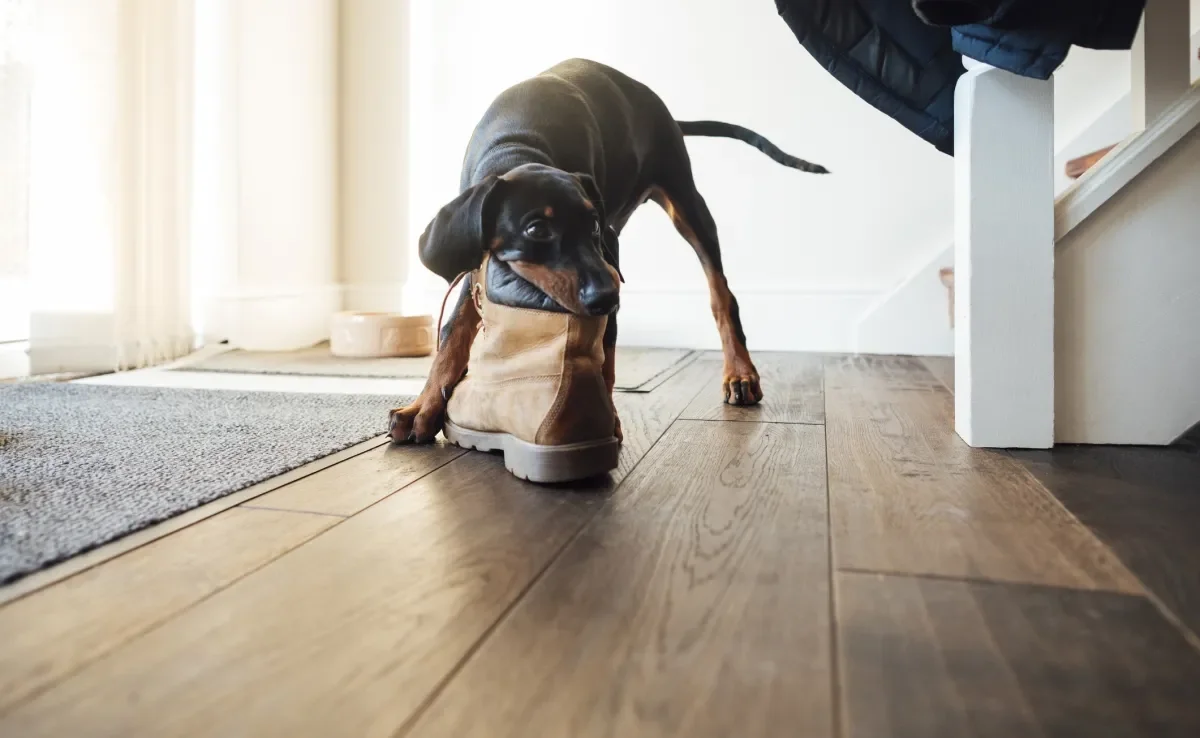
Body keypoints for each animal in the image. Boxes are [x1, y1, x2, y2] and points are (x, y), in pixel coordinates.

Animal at [388, 57, 830, 444]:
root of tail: (664, 112)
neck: (518, 146)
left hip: (686, 203)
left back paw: (740, 373)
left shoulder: (608, 252)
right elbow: (452, 335)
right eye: (537, 229)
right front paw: (422, 408)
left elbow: (605, 352)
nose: (607, 297)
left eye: (593, 225)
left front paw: (602, 419)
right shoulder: (478, 262)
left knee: (721, 292)